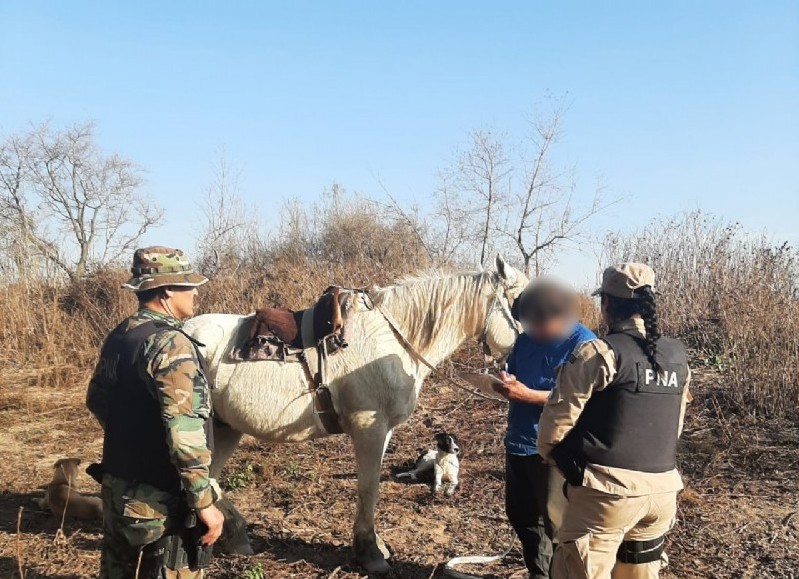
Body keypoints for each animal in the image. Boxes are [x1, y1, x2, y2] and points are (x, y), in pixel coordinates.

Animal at [184, 256, 528, 572]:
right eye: (520, 304)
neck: (392, 339)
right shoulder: (369, 429)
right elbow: (368, 486)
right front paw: (370, 551)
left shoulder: (383, 431)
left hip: (226, 428)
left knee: (209, 479)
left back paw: (235, 535)